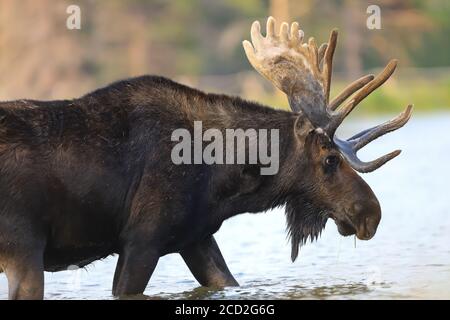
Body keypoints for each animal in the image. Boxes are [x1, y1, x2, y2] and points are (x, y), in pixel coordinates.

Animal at [0, 16, 412, 298]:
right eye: (329, 158)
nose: (371, 213)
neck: (224, 181)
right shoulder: (141, 240)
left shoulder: (195, 237)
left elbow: (227, 281)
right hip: (23, 248)